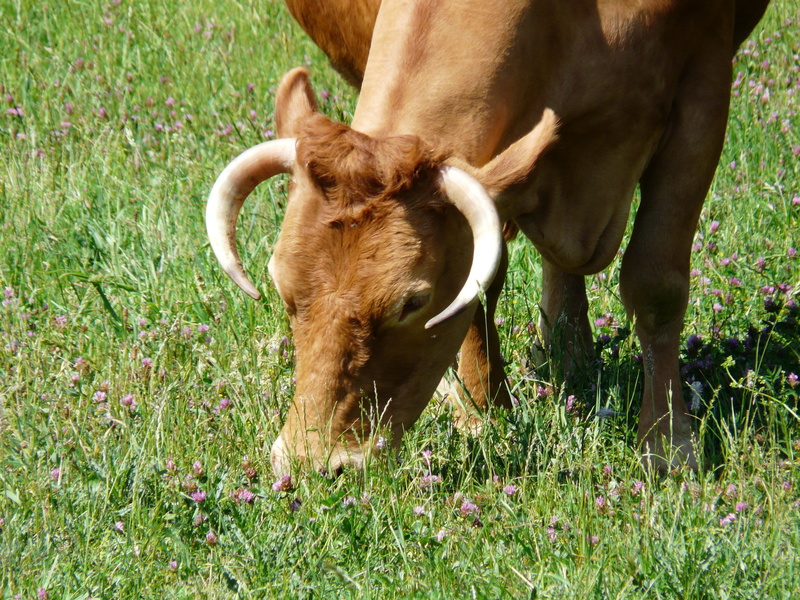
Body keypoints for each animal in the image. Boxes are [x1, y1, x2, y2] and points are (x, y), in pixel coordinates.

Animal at [206, 0, 771, 475]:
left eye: (412, 303)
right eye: (283, 291)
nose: (312, 464)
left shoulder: (704, 81)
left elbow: (655, 285)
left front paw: (668, 445)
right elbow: (481, 279)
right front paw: (483, 412)